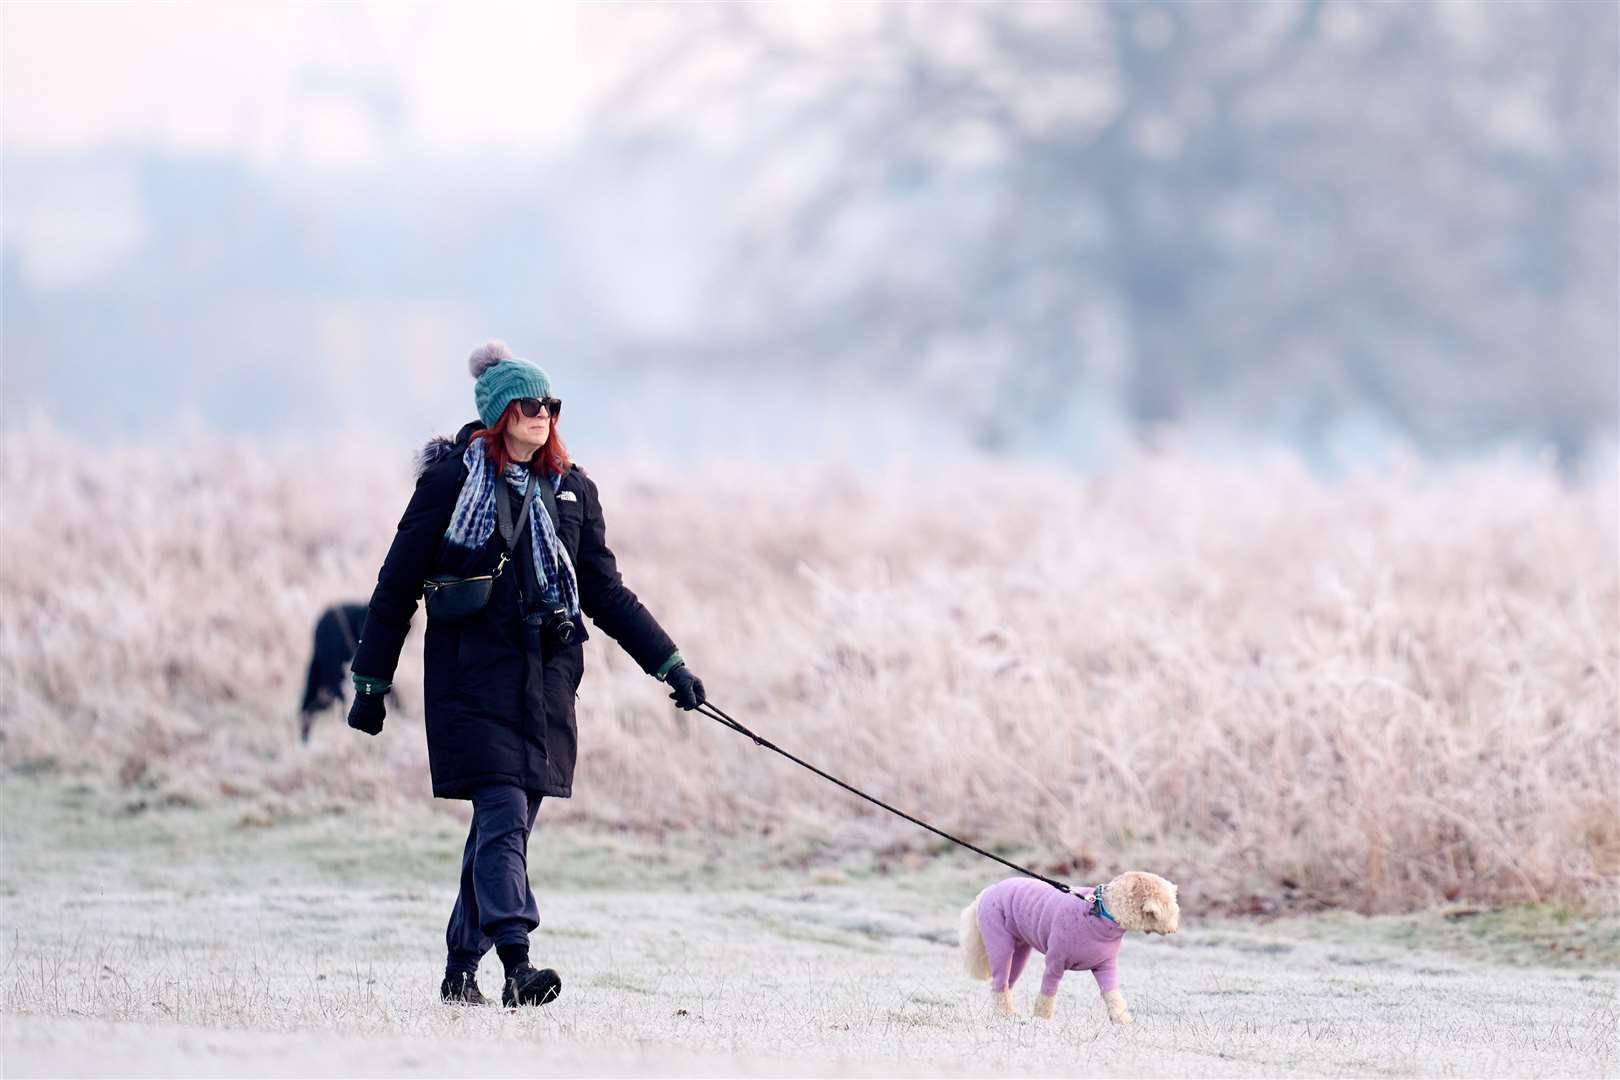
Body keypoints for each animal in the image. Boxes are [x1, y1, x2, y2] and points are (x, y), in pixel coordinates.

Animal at [959, 880, 1179, 1023]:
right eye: (1173, 908)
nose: (1175, 928)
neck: (1101, 911)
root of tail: (986, 892)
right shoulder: (1055, 963)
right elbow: (1047, 994)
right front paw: (1042, 1018)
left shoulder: (1105, 966)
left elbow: (1113, 995)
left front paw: (1121, 1020)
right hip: (999, 940)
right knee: (999, 981)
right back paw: (1006, 1015)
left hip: (1019, 950)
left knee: (1006, 984)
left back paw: (1006, 1014)